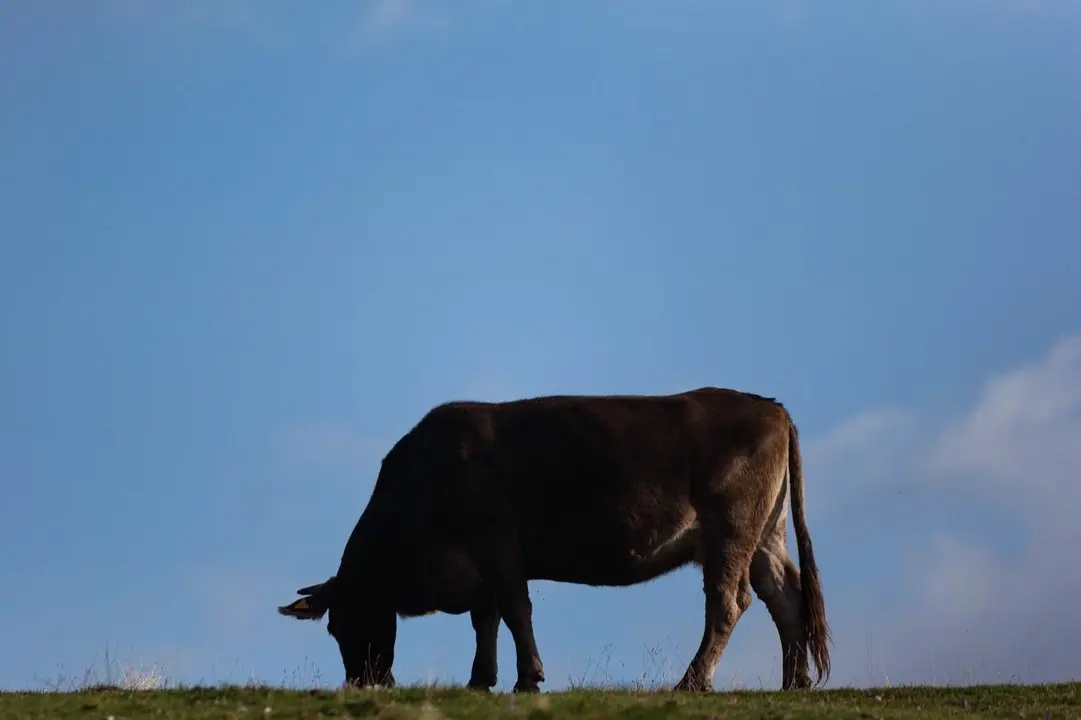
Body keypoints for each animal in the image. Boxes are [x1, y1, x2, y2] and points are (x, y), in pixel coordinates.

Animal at [274, 384, 830, 691]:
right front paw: (480, 680)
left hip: (731, 531)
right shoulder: (482, 568)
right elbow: (486, 620)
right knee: (786, 597)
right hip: (765, 535)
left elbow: (515, 611)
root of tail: (768, 405)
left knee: (729, 603)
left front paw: (528, 678)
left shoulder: (498, 544)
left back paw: (692, 681)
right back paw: (793, 683)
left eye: (343, 624)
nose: (363, 683)